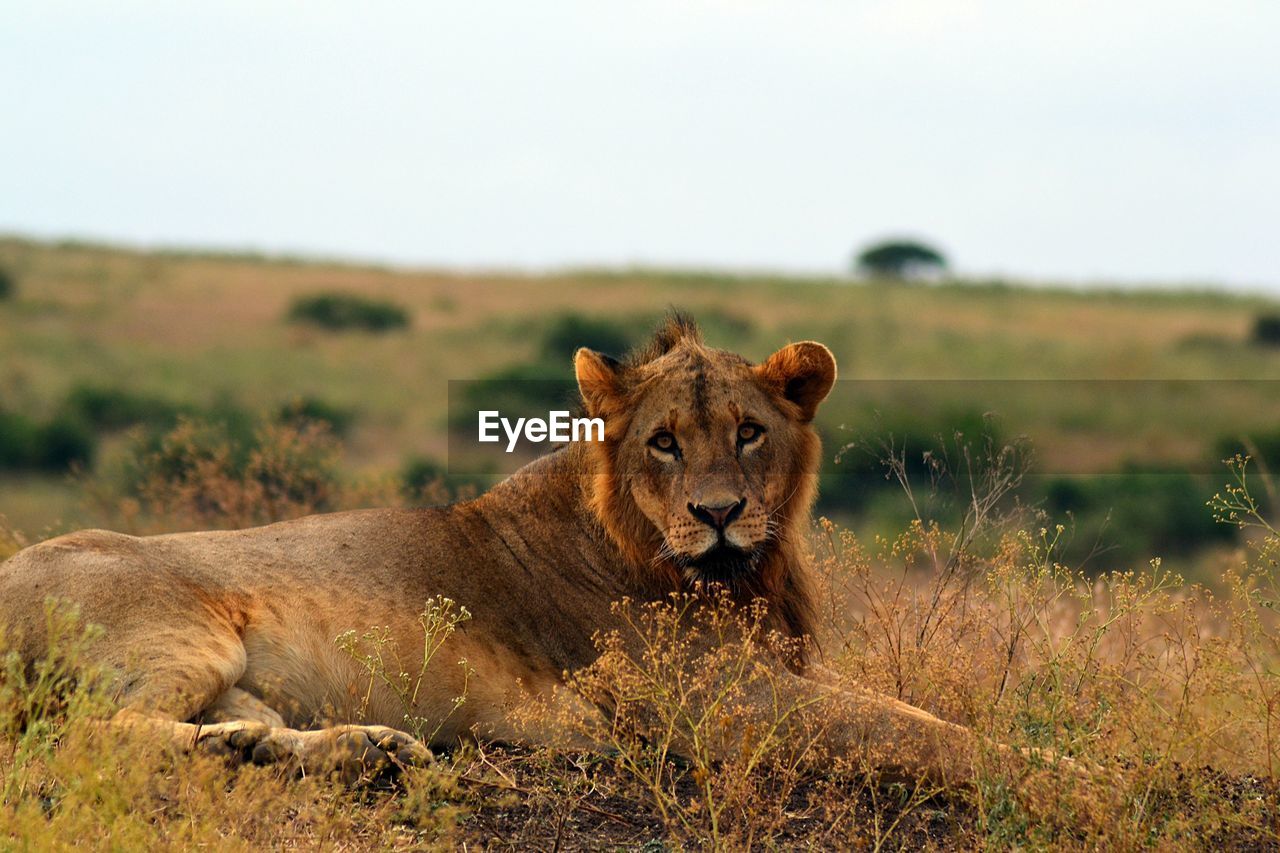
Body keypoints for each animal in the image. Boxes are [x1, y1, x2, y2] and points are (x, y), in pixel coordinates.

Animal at [0, 313, 977, 783]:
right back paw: (253, 751)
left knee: (238, 727)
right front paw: (1018, 766)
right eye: (663, 442)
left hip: (243, 683)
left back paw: (357, 750)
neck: (746, 575)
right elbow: (927, 733)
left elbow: (916, 715)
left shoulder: (779, 667)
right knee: (90, 735)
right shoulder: (718, 700)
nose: (718, 512)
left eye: (748, 432)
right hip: (186, 635)